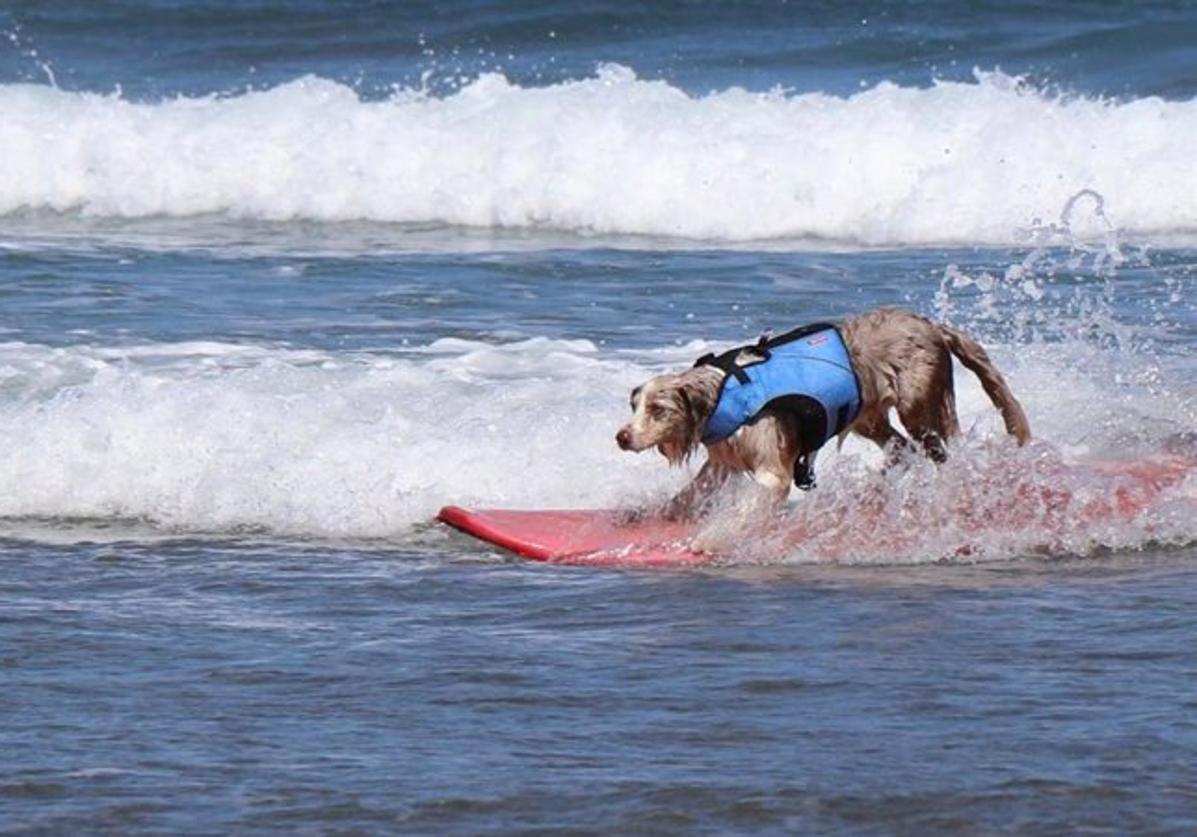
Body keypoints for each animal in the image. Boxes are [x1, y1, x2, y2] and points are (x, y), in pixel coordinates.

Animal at [617, 308, 1029, 517]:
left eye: (658, 409)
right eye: (635, 406)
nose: (621, 437)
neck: (722, 394)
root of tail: (933, 327)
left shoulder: (772, 468)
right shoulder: (723, 461)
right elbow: (689, 493)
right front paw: (653, 513)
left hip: (919, 407)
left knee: (937, 450)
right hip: (867, 416)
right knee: (899, 448)